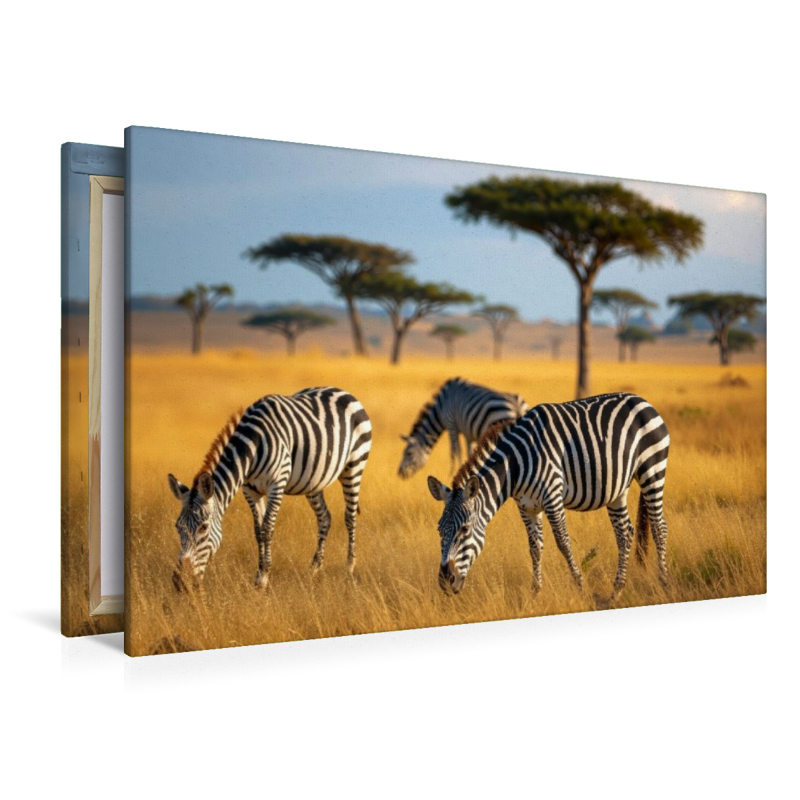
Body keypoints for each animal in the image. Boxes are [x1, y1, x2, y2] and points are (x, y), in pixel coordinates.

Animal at [168, 386, 372, 591]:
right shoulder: (250, 490)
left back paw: (349, 567)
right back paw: (315, 568)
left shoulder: (276, 484)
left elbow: (267, 528)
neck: (252, 446)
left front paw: (263, 579)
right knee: (324, 517)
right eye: (177, 527)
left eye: (204, 527)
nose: (180, 582)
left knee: (349, 517)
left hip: (354, 466)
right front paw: (260, 574)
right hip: (314, 480)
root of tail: (342, 391)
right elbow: (258, 531)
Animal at [398, 377, 529, 479]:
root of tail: (517, 406)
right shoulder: (468, 433)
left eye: (409, 453)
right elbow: (468, 452)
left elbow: (455, 451)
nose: (399, 473)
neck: (440, 407)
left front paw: (451, 473)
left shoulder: (451, 424)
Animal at [427, 392, 670, 597]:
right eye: (439, 530)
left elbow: (563, 542)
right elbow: (535, 547)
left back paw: (663, 582)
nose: (445, 582)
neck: (515, 467)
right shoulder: (526, 506)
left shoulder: (553, 497)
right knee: (625, 533)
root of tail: (642, 400)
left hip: (652, 471)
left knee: (659, 527)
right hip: (617, 489)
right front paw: (535, 593)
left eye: (465, 529)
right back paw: (617, 591)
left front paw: (580, 587)